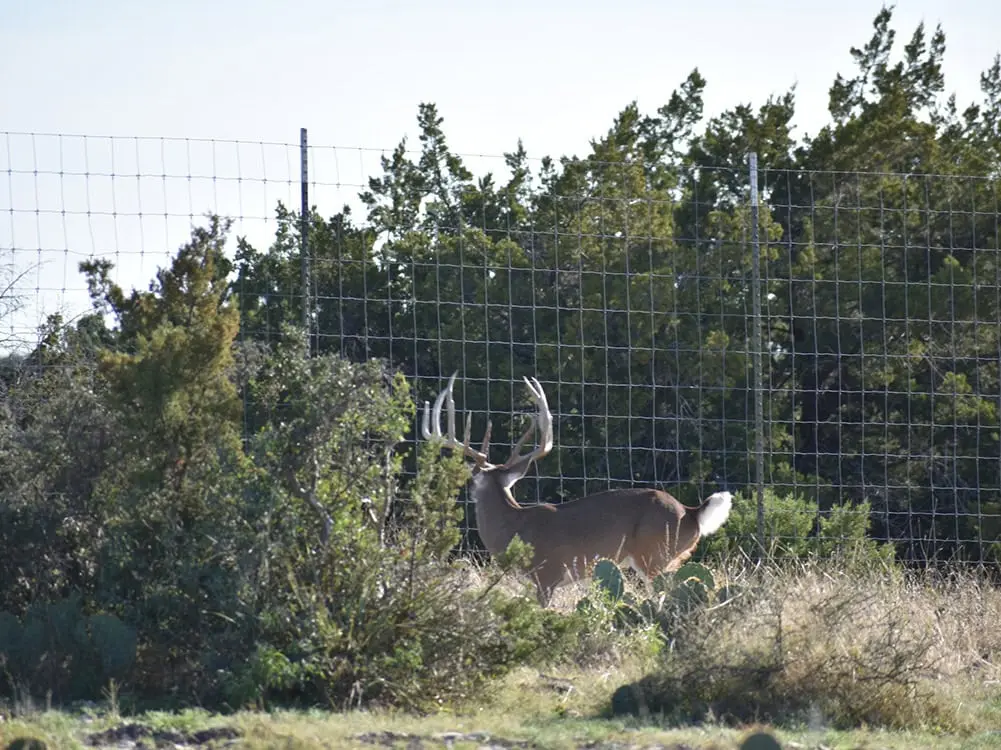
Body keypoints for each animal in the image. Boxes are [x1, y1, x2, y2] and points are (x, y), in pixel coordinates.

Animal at [421, 372, 734, 607]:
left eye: (472, 480)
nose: (464, 489)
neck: (514, 528)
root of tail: (691, 513)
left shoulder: (547, 574)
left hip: (653, 555)